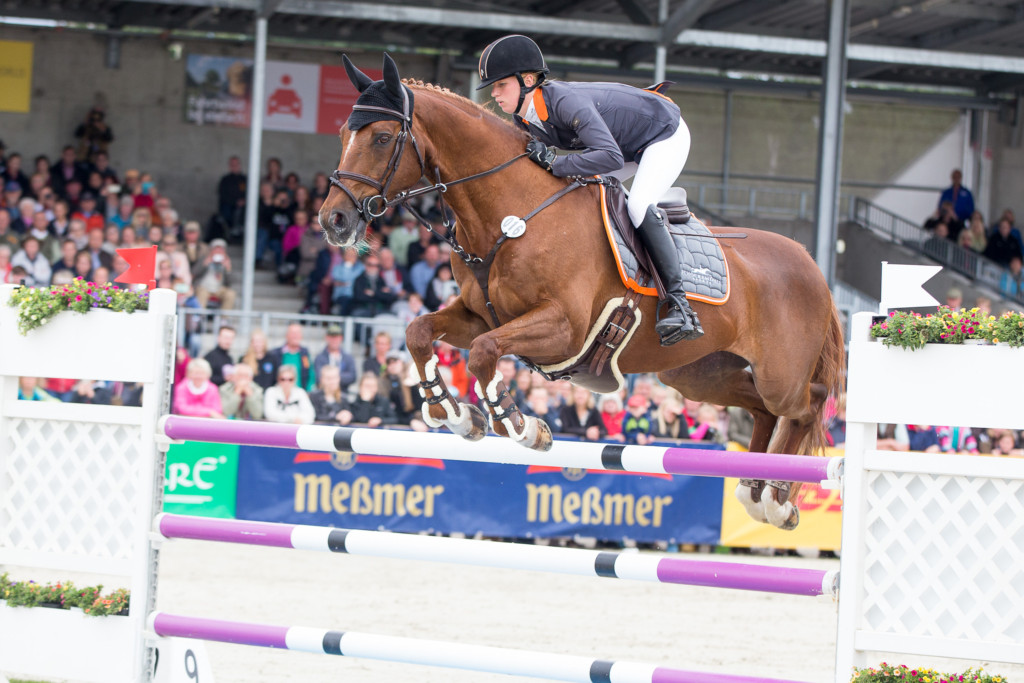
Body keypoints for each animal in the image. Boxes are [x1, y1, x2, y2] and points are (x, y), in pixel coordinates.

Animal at [317, 56, 839, 532]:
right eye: (343, 134)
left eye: (383, 138)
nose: (333, 221)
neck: (511, 212)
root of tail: (809, 262)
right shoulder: (478, 315)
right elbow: (420, 332)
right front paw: (454, 414)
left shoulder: (562, 328)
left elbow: (484, 354)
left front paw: (521, 426)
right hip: (698, 374)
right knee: (762, 409)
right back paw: (755, 491)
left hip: (779, 374)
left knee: (806, 405)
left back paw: (778, 499)